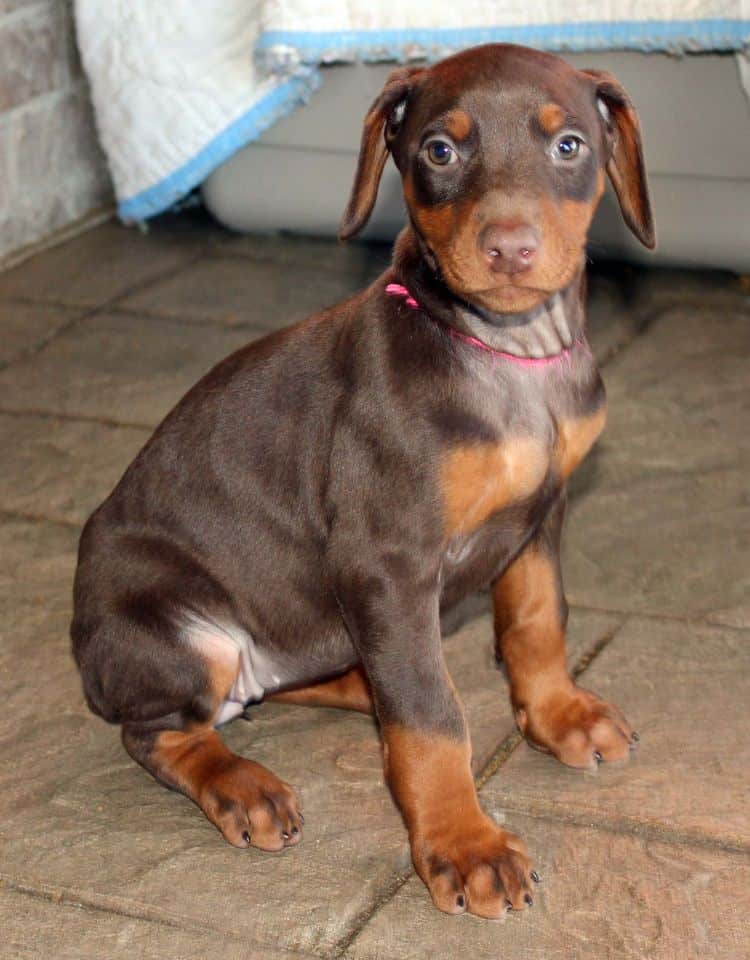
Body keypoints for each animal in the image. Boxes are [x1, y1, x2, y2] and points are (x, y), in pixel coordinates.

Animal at [73, 45, 656, 924]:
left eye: (570, 146)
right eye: (439, 151)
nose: (510, 248)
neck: (506, 356)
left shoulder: (539, 517)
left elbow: (536, 622)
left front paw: (558, 714)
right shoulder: (387, 560)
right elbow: (431, 719)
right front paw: (464, 844)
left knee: (311, 680)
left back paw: (357, 685)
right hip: (186, 637)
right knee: (163, 730)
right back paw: (242, 782)